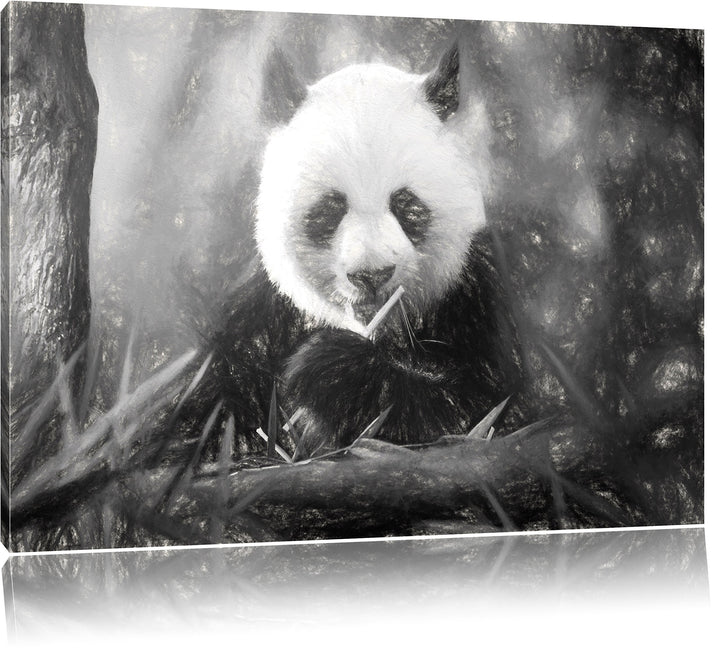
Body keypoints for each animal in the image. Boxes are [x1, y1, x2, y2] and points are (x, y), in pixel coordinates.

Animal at [215, 44, 522, 458]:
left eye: (407, 205)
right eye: (330, 209)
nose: (371, 275)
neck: (376, 331)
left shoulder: (479, 293)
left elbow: (477, 414)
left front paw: (329, 368)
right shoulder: (258, 319)